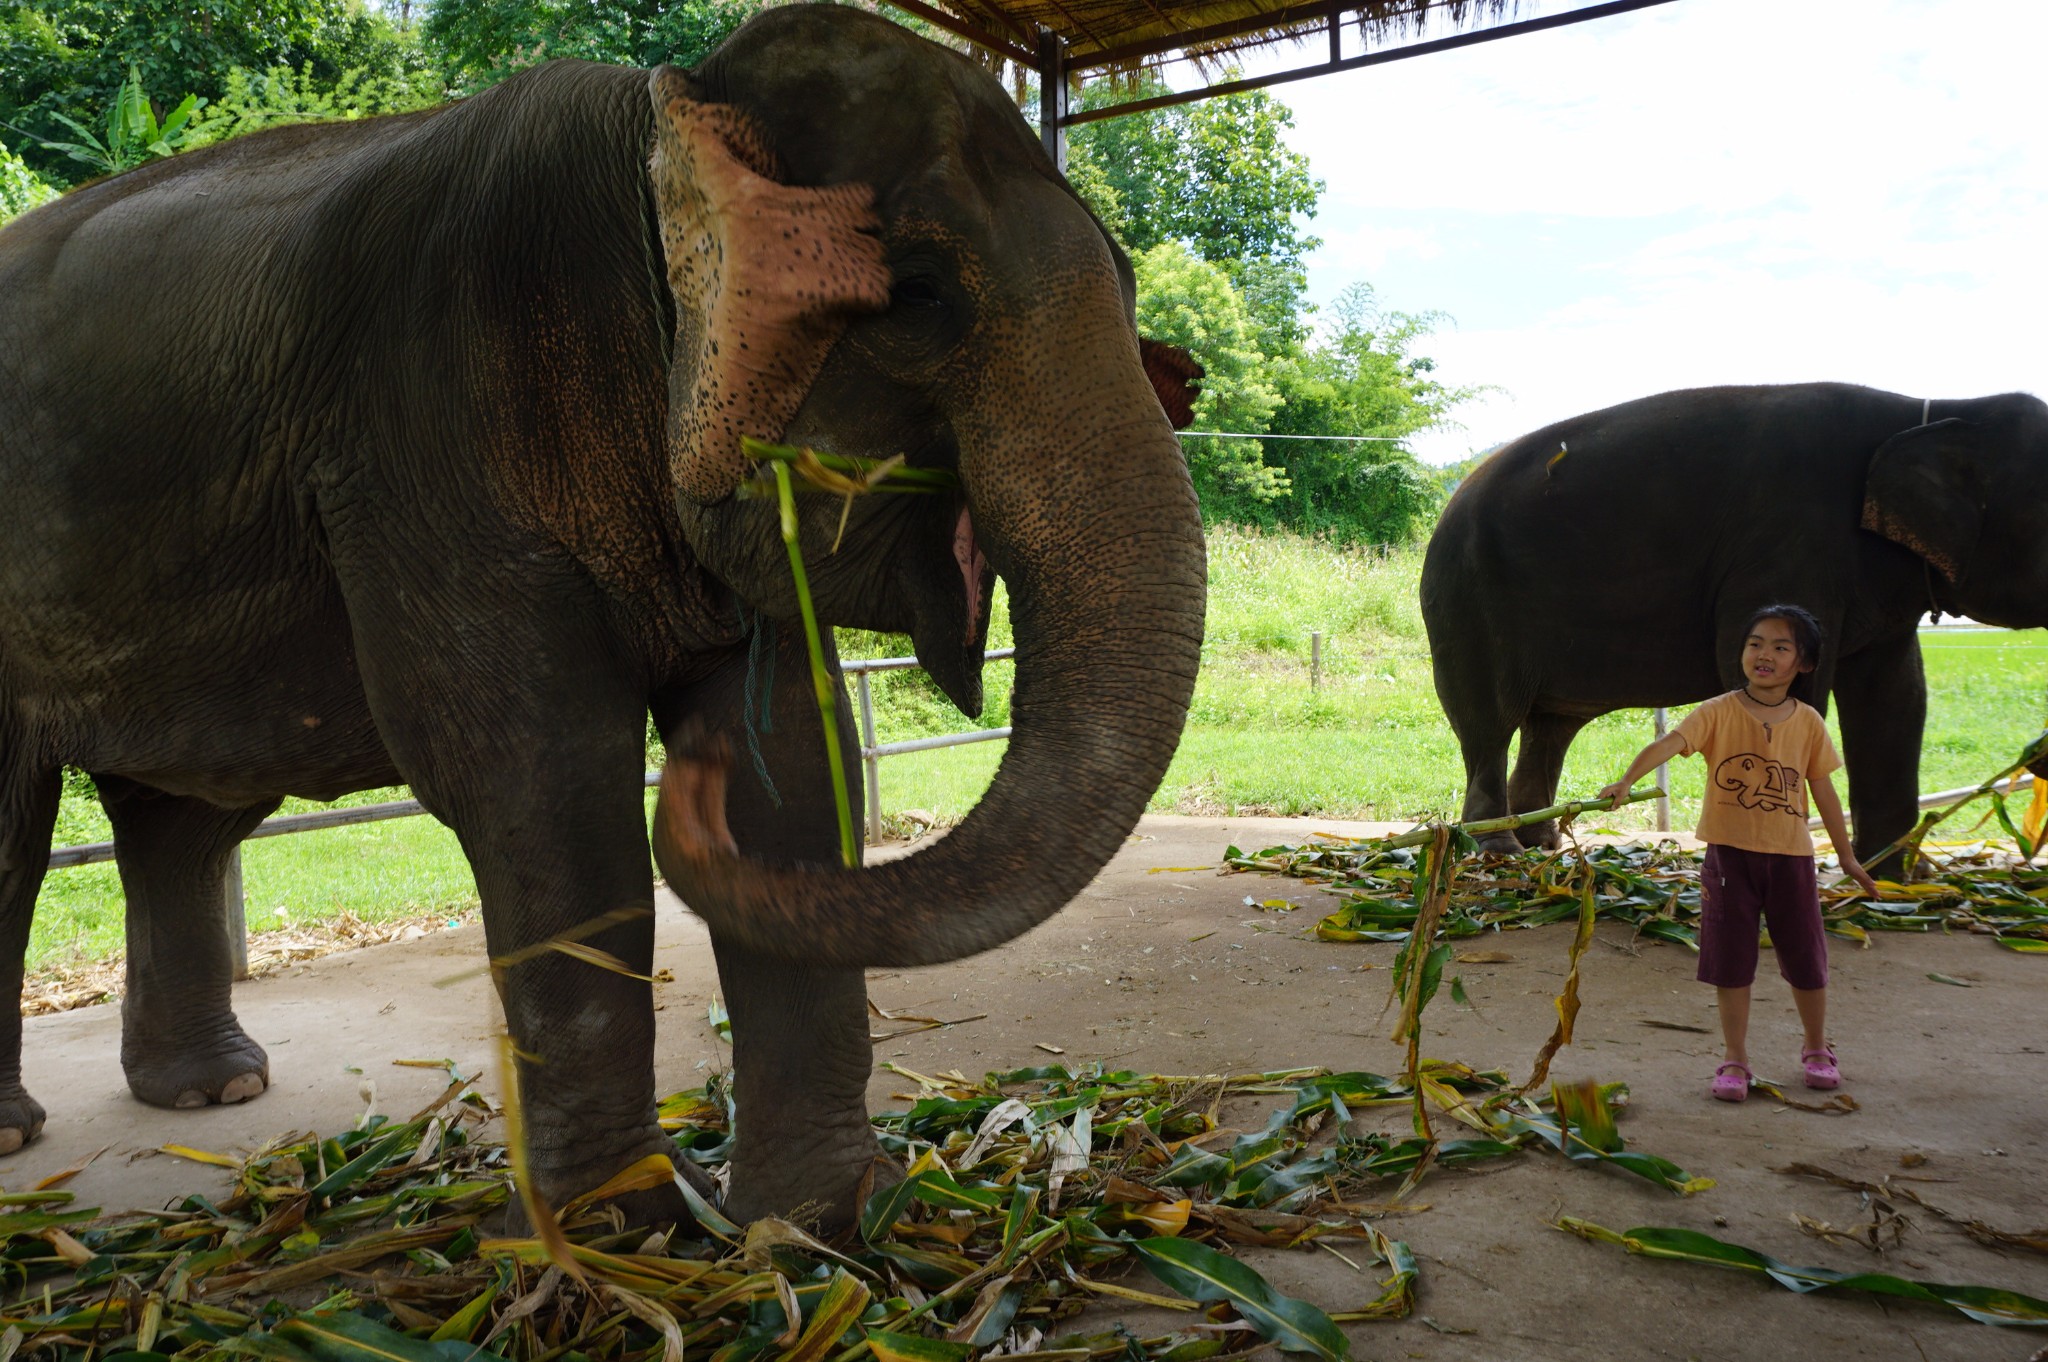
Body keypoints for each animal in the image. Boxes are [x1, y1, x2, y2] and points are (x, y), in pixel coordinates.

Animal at [0, 2, 1204, 1228]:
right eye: (919, 297)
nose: (689, 791)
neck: (661, 119)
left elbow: (791, 769)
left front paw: (825, 1219)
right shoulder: (427, 444)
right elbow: (540, 779)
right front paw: (628, 1223)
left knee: (180, 822)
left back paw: (214, 1092)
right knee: (21, 839)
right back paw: (37, 1129)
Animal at [1425, 378, 2048, 872]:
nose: (2035, 755)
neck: (1938, 409)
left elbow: (1897, 698)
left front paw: (1890, 879)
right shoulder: (1788, 548)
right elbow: (1774, 675)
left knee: (1550, 725)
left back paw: (1542, 842)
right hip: (1467, 601)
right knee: (1490, 722)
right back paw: (1496, 849)